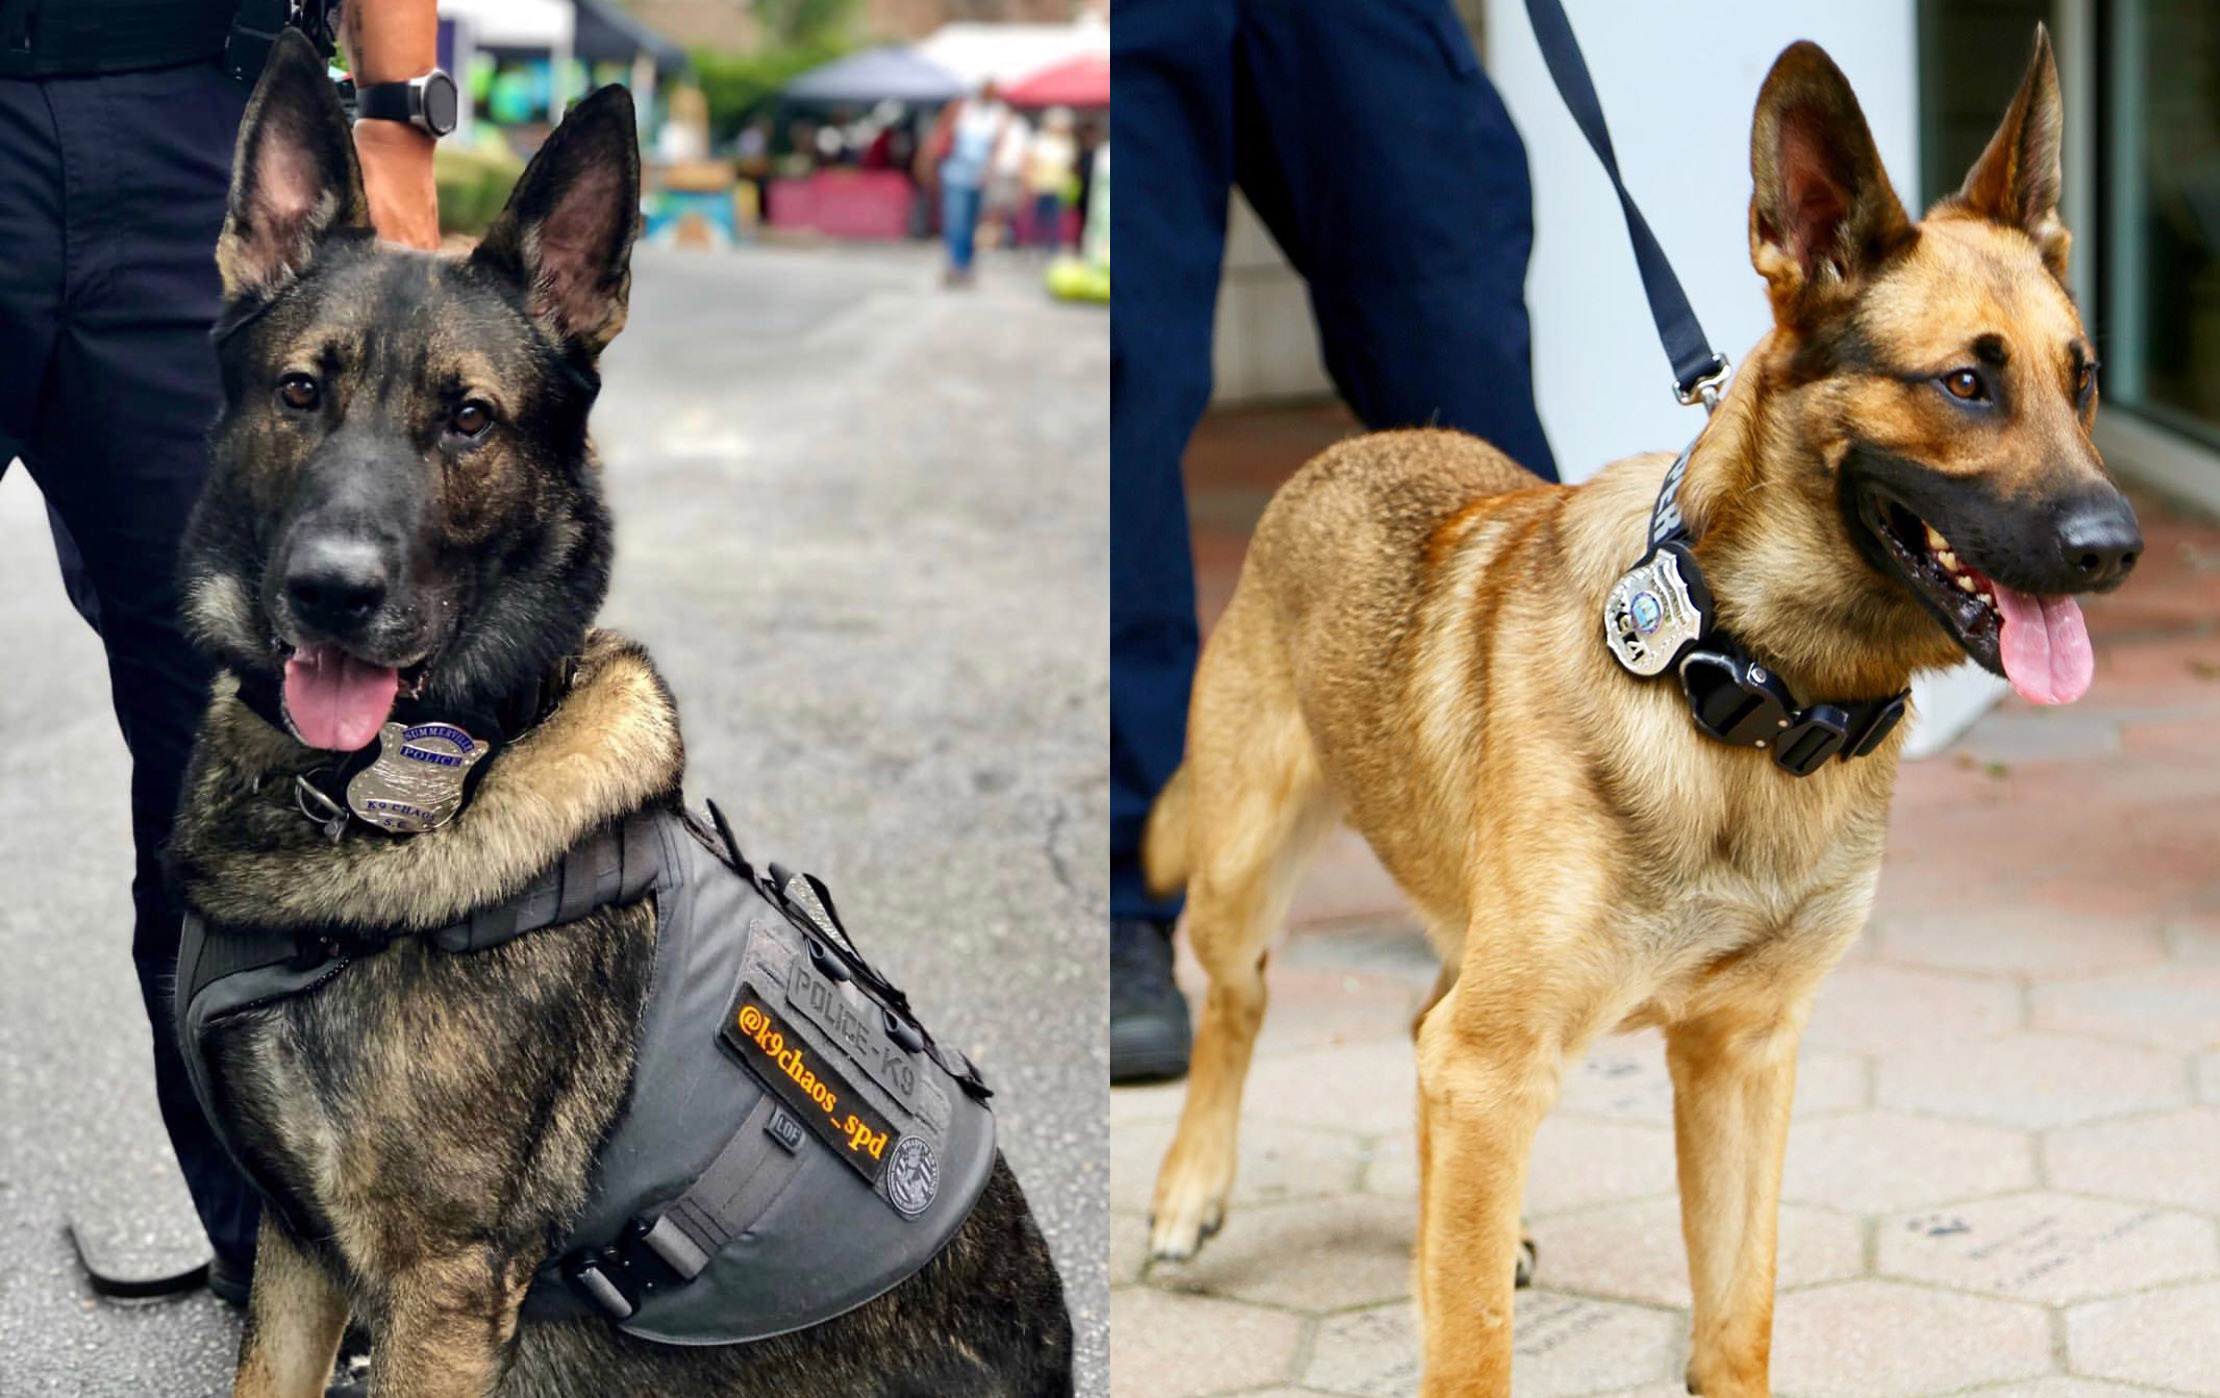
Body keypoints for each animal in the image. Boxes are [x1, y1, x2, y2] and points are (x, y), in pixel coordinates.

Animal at [1145, 24, 2131, 1398]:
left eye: (2082, 381)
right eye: (1964, 386)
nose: (2118, 548)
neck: (1751, 691)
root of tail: (1351, 450)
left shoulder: (1739, 1057)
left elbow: (1735, 1321)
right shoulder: (1500, 1065)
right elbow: (1473, 1354)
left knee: (1413, 1032)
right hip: (1243, 874)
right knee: (1238, 1004)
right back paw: (1193, 1192)